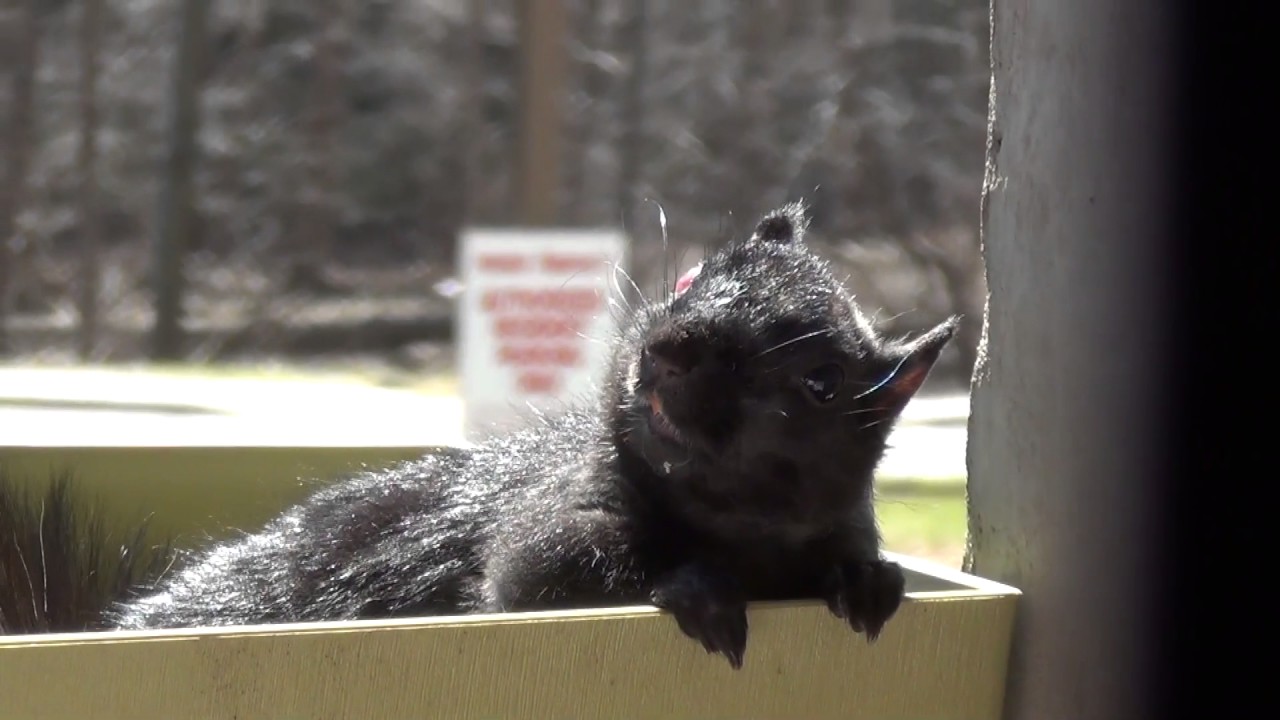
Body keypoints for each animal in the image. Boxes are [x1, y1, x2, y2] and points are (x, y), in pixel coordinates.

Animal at [0, 204, 955, 669]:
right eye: (691, 276)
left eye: (820, 383)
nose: (671, 347)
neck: (740, 535)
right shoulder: (540, 531)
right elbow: (541, 581)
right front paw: (696, 588)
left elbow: (850, 555)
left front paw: (870, 580)